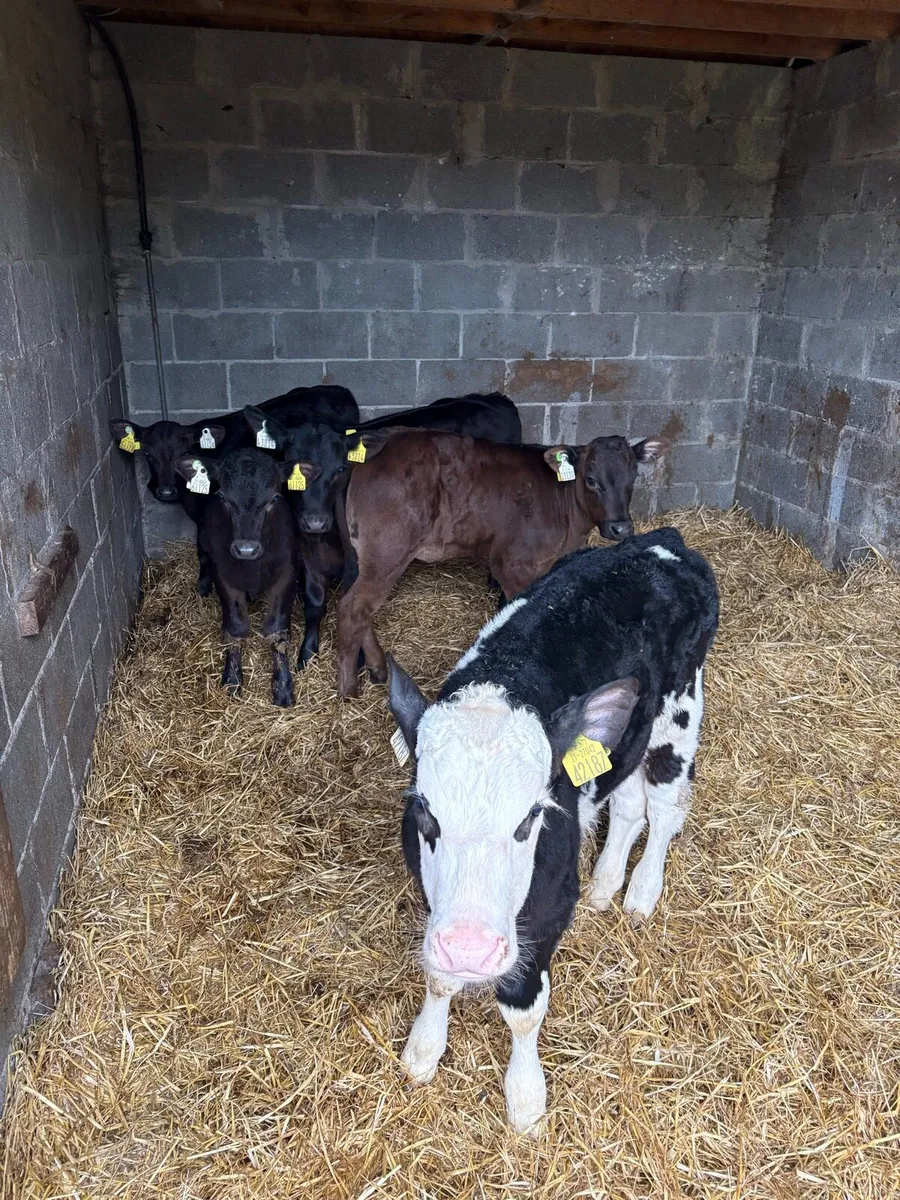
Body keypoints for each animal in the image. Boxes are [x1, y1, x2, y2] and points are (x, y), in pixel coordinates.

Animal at [110, 384, 358, 595]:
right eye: (147, 453)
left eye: (184, 452)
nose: (166, 492)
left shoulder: (203, 515)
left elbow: (203, 550)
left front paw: (204, 585)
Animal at [173, 449, 302, 707]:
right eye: (222, 496)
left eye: (274, 498)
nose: (246, 549)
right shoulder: (225, 577)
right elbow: (235, 629)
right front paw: (232, 679)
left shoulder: (287, 575)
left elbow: (277, 631)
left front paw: (283, 687)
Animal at [243, 393, 522, 667]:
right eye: (294, 470)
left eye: (340, 469)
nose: (315, 522)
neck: (325, 539)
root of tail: (495, 398)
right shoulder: (307, 553)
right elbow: (314, 603)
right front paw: (307, 653)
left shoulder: (360, 559)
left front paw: (357, 658)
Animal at [336, 430, 669, 698]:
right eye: (591, 480)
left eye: (633, 478)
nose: (621, 528)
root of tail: (382, 442)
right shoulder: (512, 566)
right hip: (387, 551)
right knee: (353, 609)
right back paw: (349, 690)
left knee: (361, 609)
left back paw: (378, 669)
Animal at [386, 527, 718, 1132]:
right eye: (424, 812)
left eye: (530, 819)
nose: (471, 949)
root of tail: (661, 540)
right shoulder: (432, 896)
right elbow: (438, 975)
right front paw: (423, 1049)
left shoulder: (549, 903)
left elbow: (522, 1007)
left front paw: (525, 1097)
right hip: (629, 739)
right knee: (628, 803)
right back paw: (606, 883)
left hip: (680, 713)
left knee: (663, 807)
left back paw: (641, 892)